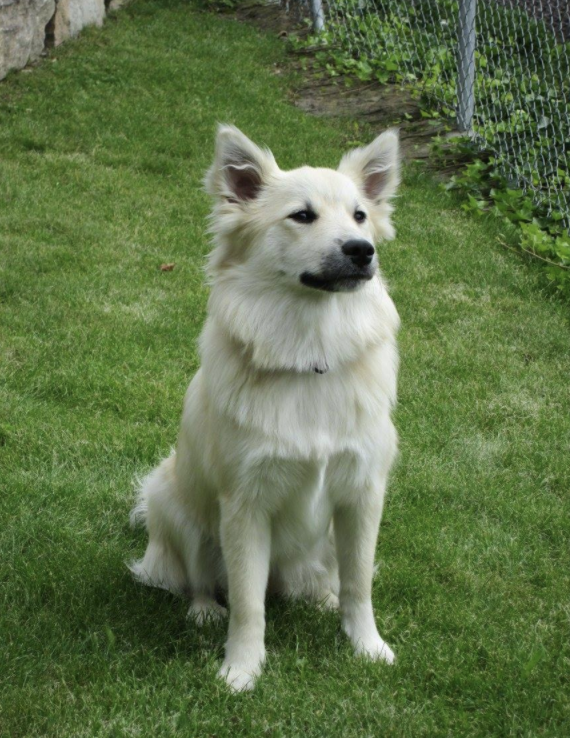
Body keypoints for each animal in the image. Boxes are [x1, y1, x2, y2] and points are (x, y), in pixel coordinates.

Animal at [131, 125, 402, 688]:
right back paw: (203, 610)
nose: (362, 251)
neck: (311, 356)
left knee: (329, 578)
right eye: (302, 216)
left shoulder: (362, 494)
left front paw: (367, 647)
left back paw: (321, 598)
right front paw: (241, 670)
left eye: (360, 215)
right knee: (200, 579)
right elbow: (248, 601)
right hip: (175, 506)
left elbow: (359, 584)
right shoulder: (245, 505)